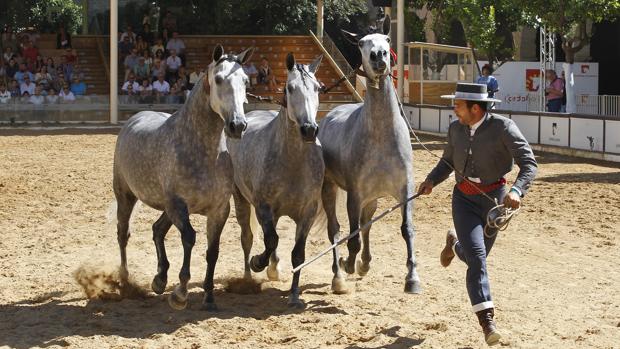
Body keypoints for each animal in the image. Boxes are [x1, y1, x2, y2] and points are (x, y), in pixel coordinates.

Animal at [112, 44, 253, 310]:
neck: (202, 151)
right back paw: (125, 281)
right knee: (123, 233)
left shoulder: (219, 210)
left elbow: (212, 251)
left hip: (166, 207)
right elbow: (189, 238)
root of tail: (134, 118)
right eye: (218, 79)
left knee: (157, 229)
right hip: (126, 196)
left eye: (246, 81)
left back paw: (159, 279)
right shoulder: (178, 205)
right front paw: (180, 293)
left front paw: (209, 298)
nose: (237, 125)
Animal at [228, 53, 324, 306]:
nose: (309, 130)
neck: (293, 162)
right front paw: (257, 263)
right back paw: (248, 278)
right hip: (242, 199)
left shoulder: (308, 212)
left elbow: (297, 254)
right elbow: (270, 240)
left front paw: (294, 296)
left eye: (318, 88)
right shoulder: (263, 206)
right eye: (290, 88)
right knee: (248, 237)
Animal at [320, 16, 422, 294]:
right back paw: (339, 276)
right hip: (330, 188)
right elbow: (351, 237)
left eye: (387, 38)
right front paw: (347, 264)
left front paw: (412, 278)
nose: (379, 56)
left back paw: (364, 263)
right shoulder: (355, 195)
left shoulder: (405, 189)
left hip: (372, 199)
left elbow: (407, 230)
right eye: (361, 43)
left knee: (366, 226)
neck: (381, 138)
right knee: (335, 230)